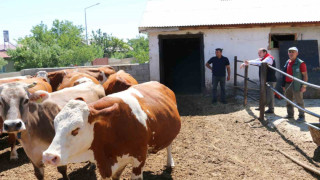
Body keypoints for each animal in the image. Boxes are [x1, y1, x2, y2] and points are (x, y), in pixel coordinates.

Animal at [42, 82, 180, 180]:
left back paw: (170, 162)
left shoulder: (139, 161)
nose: (48, 156)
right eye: (55, 126)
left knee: (169, 146)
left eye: (76, 129)